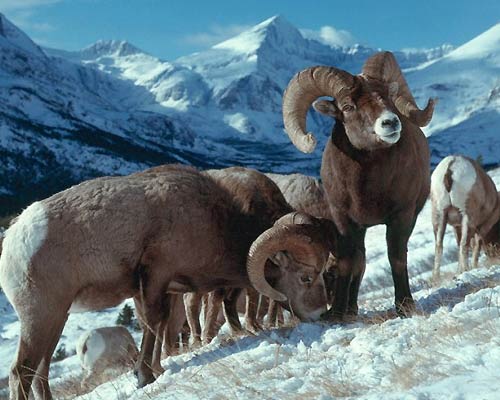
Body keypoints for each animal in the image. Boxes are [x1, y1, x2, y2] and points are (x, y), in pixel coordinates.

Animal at [0, 163, 336, 400]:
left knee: (40, 371)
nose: (321, 314)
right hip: (41, 316)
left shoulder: (162, 289)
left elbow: (160, 328)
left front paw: (155, 369)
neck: (215, 220)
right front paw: (145, 376)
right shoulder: (155, 278)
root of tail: (15, 236)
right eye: (306, 277)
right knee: (21, 372)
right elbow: (153, 323)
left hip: (57, 319)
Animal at [282, 50, 434, 318]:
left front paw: (404, 306)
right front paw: (336, 314)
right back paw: (350, 309)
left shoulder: (401, 216)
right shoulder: (343, 221)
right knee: (359, 260)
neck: (366, 189)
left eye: (388, 97)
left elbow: (396, 257)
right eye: (347, 107)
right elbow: (347, 262)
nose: (390, 123)